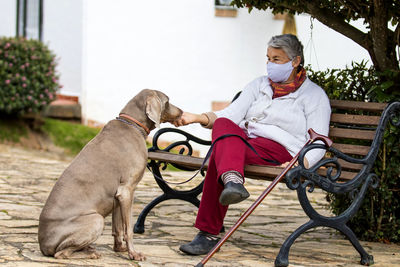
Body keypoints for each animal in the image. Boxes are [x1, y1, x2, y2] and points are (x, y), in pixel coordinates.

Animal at [38, 90, 182, 262]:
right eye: (167, 101)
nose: (182, 112)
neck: (132, 124)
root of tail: (43, 245)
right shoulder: (127, 191)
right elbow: (128, 229)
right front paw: (133, 254)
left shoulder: (117, 197)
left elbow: (118, 227)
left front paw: (119, 248)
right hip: (96, 219)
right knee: (61, 253)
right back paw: (90, 253)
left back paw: (88, 248)